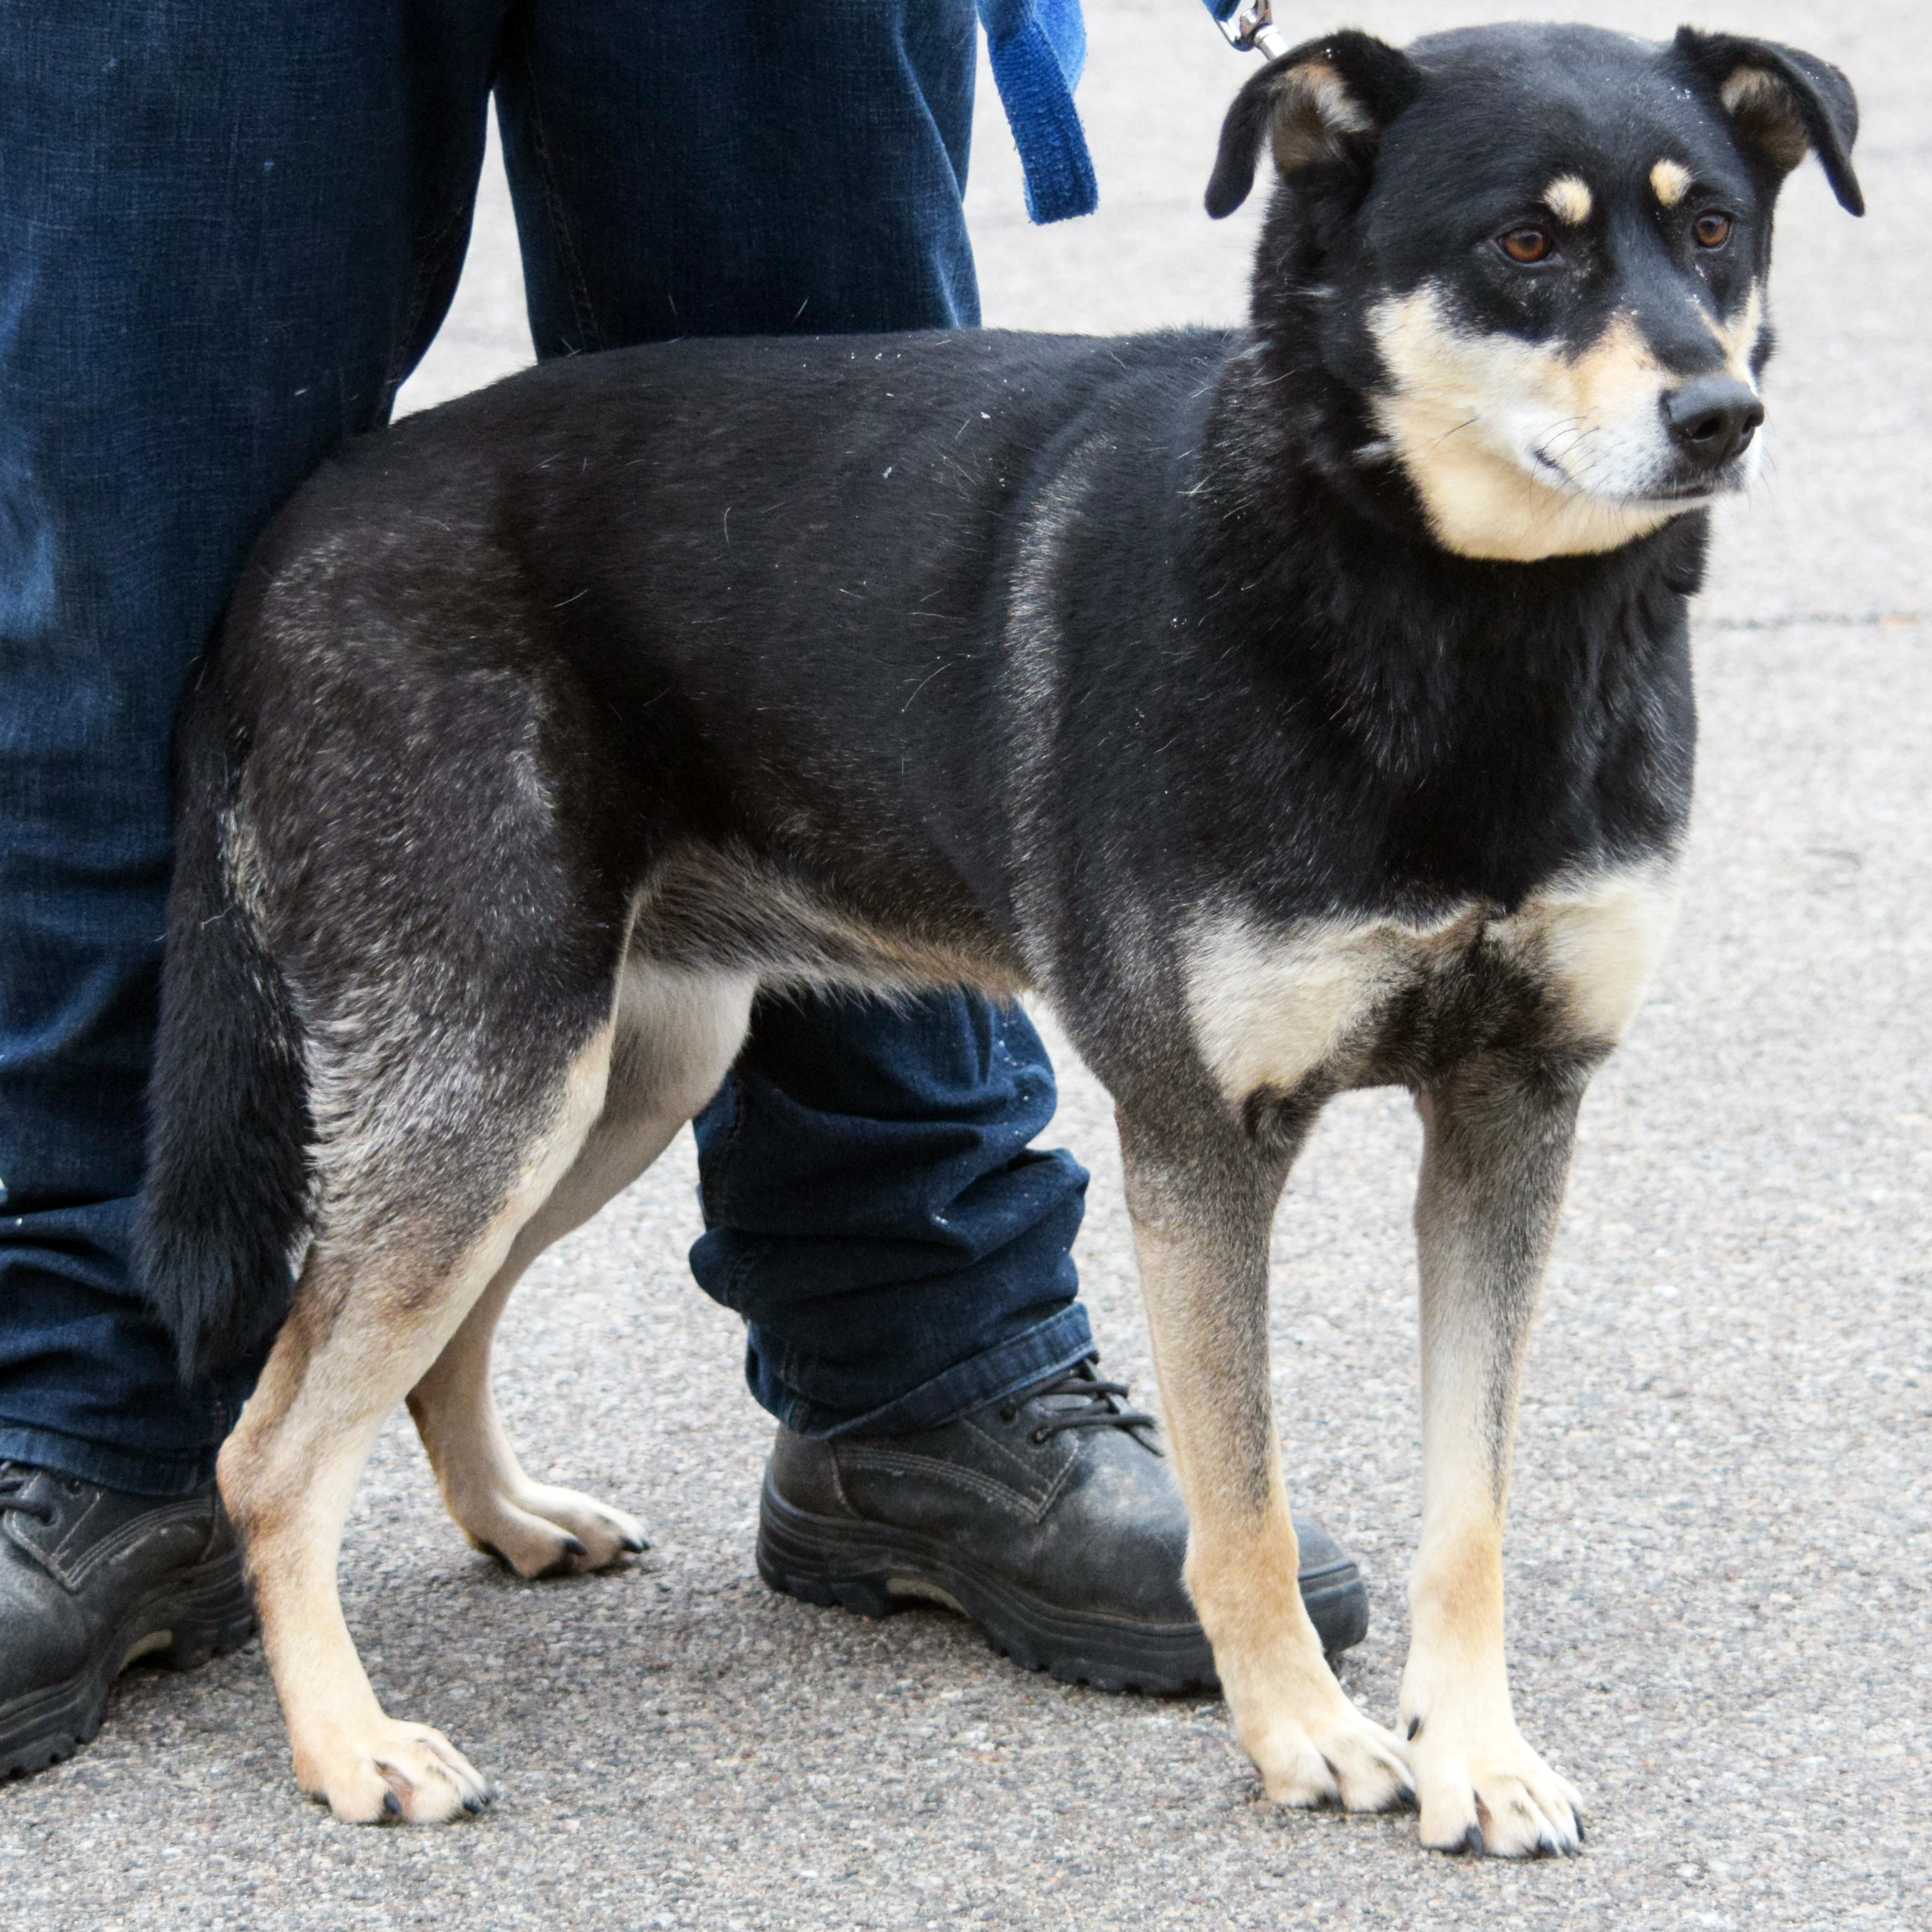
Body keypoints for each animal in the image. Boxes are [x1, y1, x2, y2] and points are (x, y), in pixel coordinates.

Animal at [140, 19, 1854, 1854]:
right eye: (1524, 244)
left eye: (1714, 230)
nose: (1721, 415)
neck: (1443, 607)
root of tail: (283, 549)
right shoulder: (1202, 1138)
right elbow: (1239, 1494)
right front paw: (1305, 1734)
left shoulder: (1516, 1109)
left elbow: (1470, 1506)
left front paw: (1477, 1750)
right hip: (494, 1074)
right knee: (270, 1447)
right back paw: (345, 1738)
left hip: (615, 1071)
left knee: (420, 1339)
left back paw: (511, 1517)